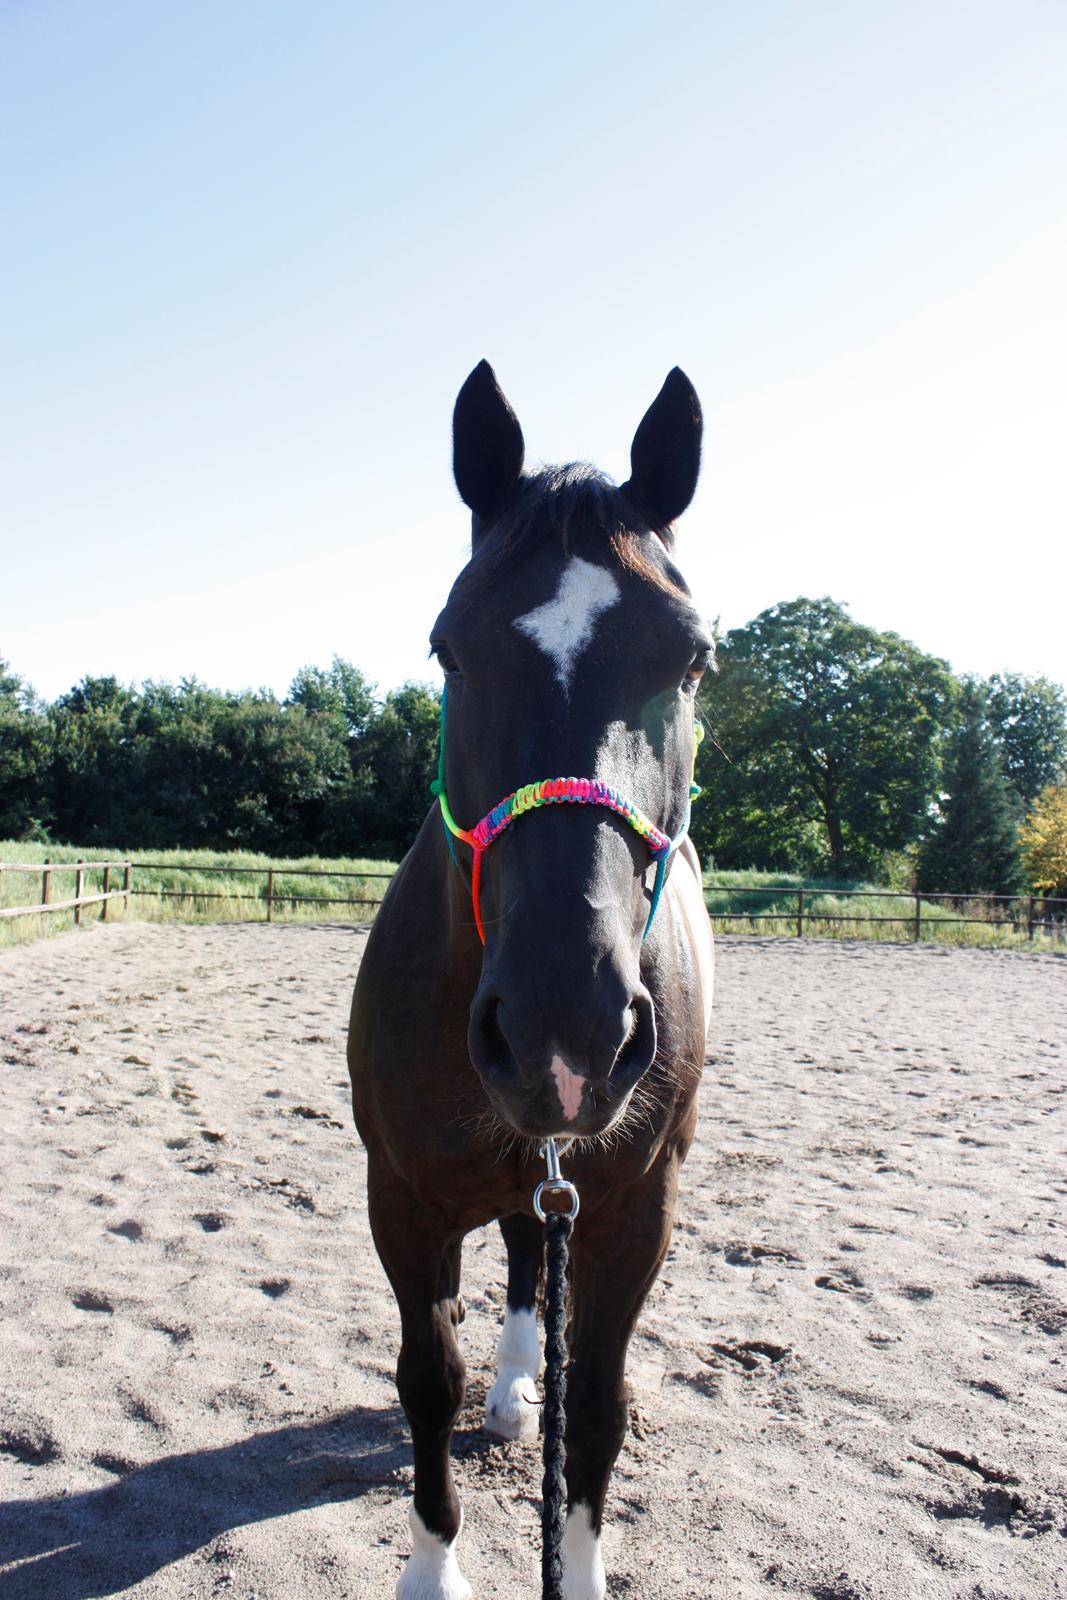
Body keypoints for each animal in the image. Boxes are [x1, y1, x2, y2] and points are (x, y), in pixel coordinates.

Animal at [350, 363, 716, 1600]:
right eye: (448, 649)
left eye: (691, 657)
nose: (569, 1027)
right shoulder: (401, 1198)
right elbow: (426, 1378)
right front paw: (430, 1571)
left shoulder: (635, 1206)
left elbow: (595, 1403)